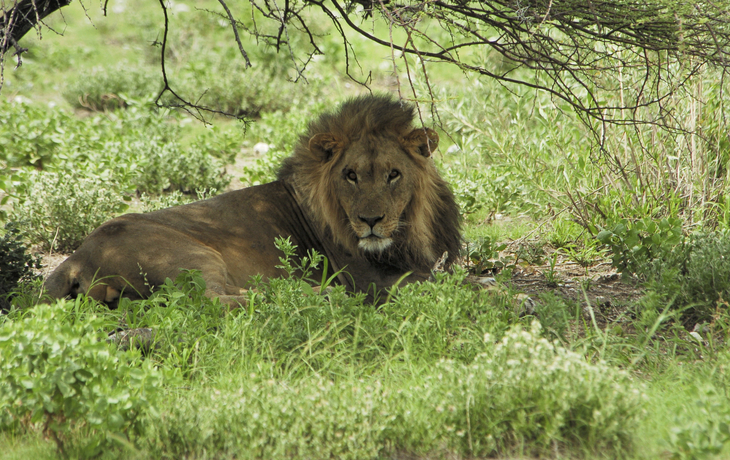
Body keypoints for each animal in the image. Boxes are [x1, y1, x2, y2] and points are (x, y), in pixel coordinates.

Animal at [45, 94, 461, 306]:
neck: (410, 230)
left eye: (393, 174)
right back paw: (317, 295)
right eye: (351, 175)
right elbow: (432, 282)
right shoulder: (368, 278)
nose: (370, 221)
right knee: (213, 300)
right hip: (192, 255)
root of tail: (76, 256)